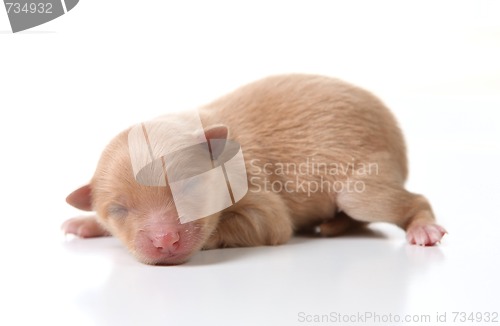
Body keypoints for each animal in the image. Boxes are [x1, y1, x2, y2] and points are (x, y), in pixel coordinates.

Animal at [60, 75, 448, 266]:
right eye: (118, 210)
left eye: (188, 189)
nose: (163, 241)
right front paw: (86, 223)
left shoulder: (257, 194)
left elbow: (265, 223)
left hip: (363, 184)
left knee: (403, 201)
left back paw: (423, 228)